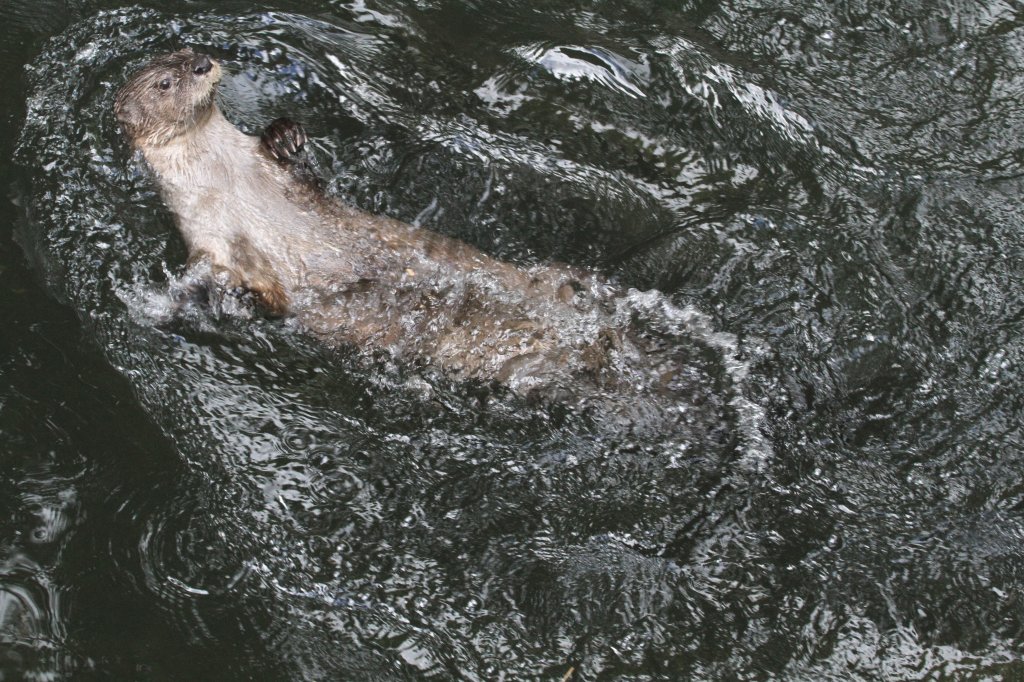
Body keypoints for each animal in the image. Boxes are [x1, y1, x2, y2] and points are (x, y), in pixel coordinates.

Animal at [116, 50, 667, 399]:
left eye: (191, 51)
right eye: (166, 83)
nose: (202, 64)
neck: (226, 178)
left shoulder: (280, 180)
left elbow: (307, 176)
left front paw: (286, 135)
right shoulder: (209, 241)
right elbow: (208, 276)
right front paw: (158, 306)